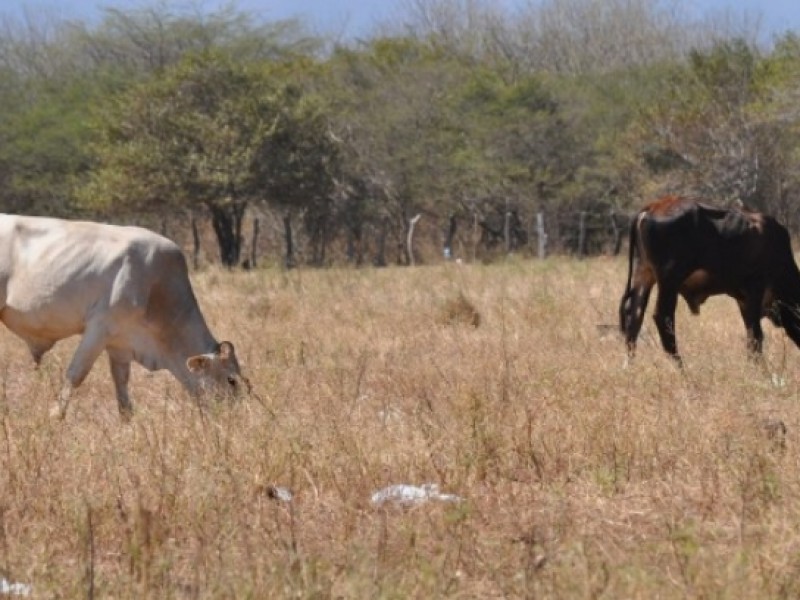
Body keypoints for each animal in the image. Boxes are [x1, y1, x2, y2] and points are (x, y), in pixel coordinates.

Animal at [0, 213, 250, 420]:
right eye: (231, 380)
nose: (235, 418)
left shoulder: (120, 343)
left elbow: (121, 382)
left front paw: (126, 420)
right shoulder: (99, 328)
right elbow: (76, 374)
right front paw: (56, 415)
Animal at [620, 197, 800, 364]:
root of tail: (651, 208)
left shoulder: (743, 300)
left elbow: (751, 334)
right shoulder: (754, 289)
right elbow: (756, 337)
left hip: (644, 275)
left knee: (634, 320)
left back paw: (630, 364)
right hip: (669, 281)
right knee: (663, 319)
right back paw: (681, 368)